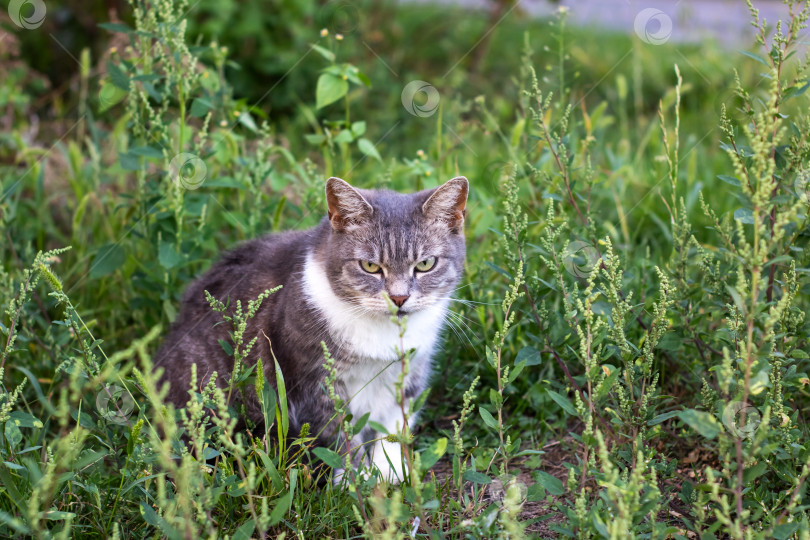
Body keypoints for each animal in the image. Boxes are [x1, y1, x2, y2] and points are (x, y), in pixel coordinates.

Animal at [153, 176, 468, 480]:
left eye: (425, 264)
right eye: (370, 266)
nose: (399, 298)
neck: (381, 334)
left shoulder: (410, 372)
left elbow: (394, 427)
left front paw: (390, 474)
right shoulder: (315, 383)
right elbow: (339, 437)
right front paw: (353, 482)